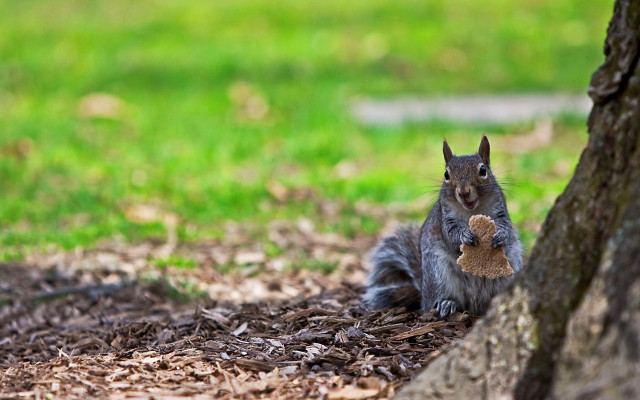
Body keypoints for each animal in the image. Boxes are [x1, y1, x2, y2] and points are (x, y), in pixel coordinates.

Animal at [363, 135, 523, 318]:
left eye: (483, 170)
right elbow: (450, 235)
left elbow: (506, 226)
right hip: (437, 273)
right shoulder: (445, 217)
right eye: (446, 174)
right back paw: (447, 303)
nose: (463, 192)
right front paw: (465, 235)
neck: (472, 210)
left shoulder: (500, 209)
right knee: (438, 302)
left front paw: (501, 236)